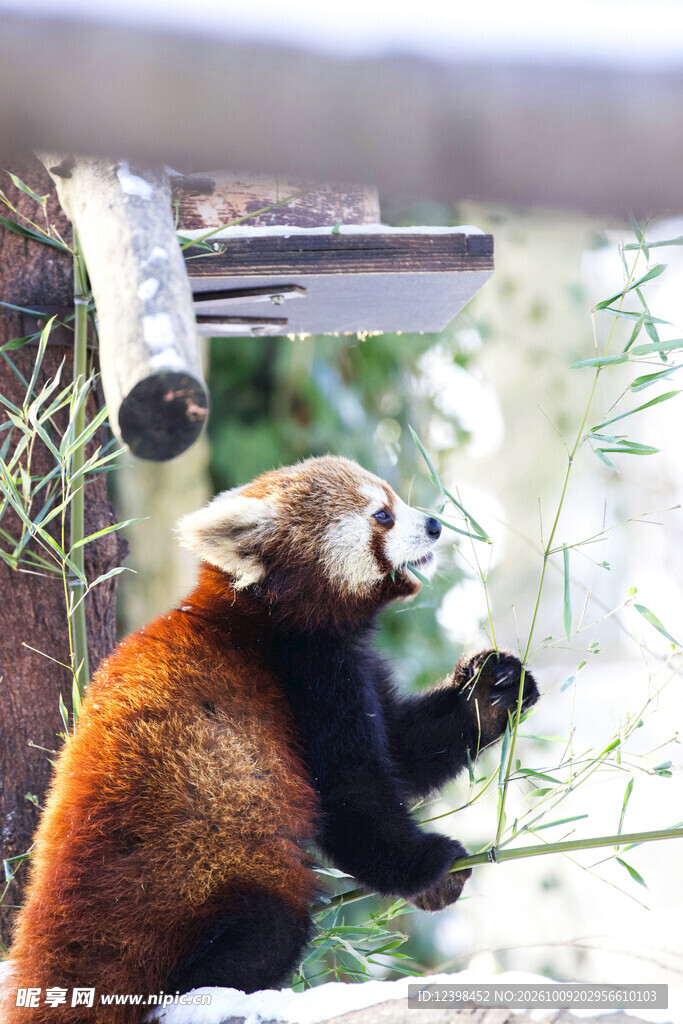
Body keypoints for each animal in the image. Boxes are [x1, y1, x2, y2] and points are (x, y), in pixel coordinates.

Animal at [4, 456, 538, 1023]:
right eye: (383, 515)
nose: (435, 524)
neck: (268, 613)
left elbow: (406, 751)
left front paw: (491, 691)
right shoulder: (306, 676)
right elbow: (353, 797)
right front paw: (430, 868)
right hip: (202, 873)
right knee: (266, 933)